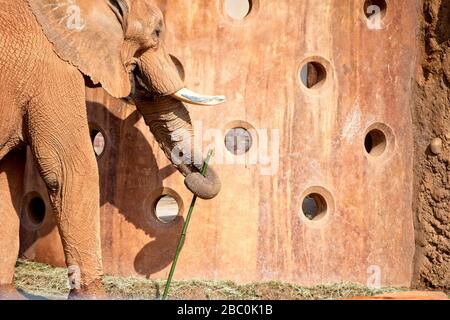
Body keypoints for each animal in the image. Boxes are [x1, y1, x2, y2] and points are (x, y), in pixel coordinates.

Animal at [0, 0, 223, 300]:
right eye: (157, 31)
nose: (196, 174)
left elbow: (7, 178)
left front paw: (7, 294)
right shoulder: (51, 68)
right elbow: (70, 169)